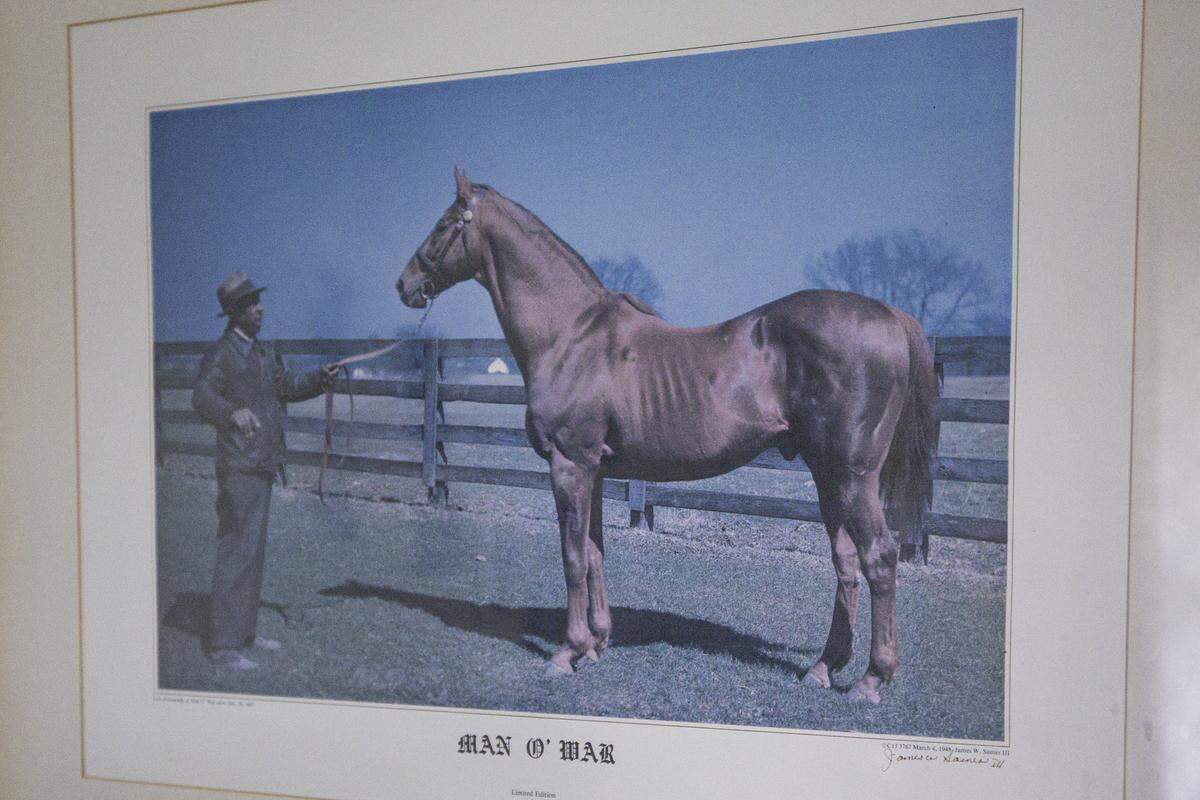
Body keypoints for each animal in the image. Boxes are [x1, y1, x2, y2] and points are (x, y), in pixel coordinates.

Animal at [396, 168, 939, 703]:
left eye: (444, 225)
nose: (405, 283)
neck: (570, 335)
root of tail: (892, 317)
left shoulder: (569, 463)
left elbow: (571, 555)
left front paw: (567, 653)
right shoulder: (594, 470)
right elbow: (594, 551)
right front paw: (597, 643)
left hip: (853, 476)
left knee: (880, 556)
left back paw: (872, 679)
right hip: (828, 476)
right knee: (846, 561)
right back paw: (824, 667)